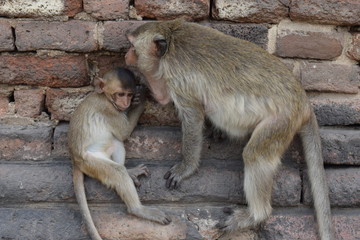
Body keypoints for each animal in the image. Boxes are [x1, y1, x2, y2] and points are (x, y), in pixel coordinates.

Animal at [68, 67, 172, 240]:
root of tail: (75, 159)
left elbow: (120, 137)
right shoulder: (109, 110)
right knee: (116, 170)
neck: (105, 97)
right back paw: (139, 209)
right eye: (120, 94)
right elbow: (124, 132)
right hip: (91, 163)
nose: (126, 102)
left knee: (115, 142)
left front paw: (137, 100)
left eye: (129, 94)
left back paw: (129, 172)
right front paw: (141, 99)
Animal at [125, 19, 334, 239]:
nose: (126, 54)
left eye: (132, 46)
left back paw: (255, 215)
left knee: (255, 155)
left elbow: (192, 117)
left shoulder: (179, 79)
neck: (172, 41)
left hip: (281, 122)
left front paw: (186, 168)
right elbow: (164, 97)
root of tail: (304, 102)